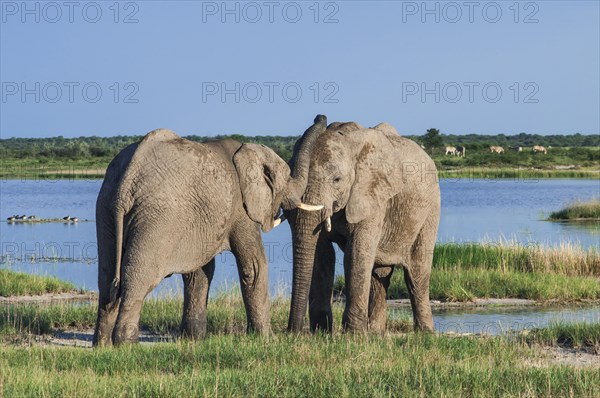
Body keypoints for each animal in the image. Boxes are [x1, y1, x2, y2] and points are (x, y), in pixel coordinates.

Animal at [92, 128, 318, 346]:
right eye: (287, 178)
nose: (320, 118)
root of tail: (128, 178)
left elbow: (199, 272)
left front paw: (193, 339)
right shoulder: (241, 210)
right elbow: (254, 266)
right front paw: (267, 339)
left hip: (105, 206)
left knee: (106, 278)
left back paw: (103, 346)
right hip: (154, 216)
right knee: (138, 279)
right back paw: (126, 345)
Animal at [284, 115, 442, 332]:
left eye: (337, 179)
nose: (292, 331)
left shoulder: (372, 195)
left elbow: (357, 252)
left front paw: (353, 334)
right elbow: (323, 254)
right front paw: (321, 331)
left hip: (430, 208)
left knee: (416, 272)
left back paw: (425, 332)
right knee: (379, 273)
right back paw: (376, 331)